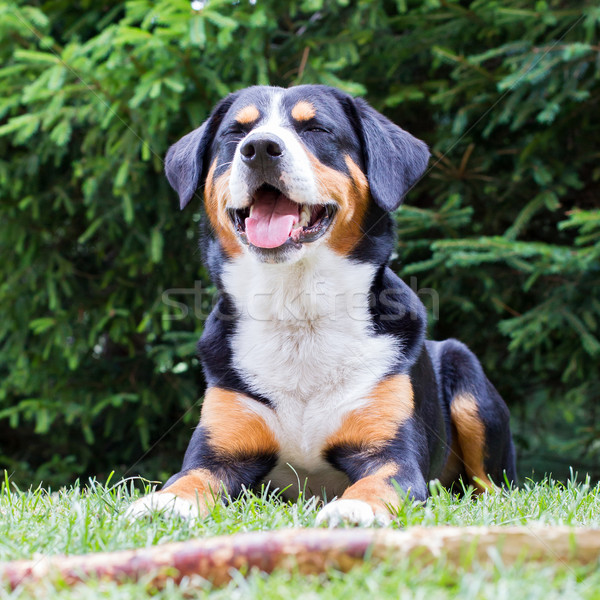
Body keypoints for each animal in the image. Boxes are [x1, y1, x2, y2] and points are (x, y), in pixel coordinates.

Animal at [126, 83, 516, 524]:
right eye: (236, 132)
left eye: (315, 128)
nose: (259, 148)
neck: (298, 310)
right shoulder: (219, 451)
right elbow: (189, 479)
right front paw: (164, 503)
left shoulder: (392, 455)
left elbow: (378, 483)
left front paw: (353, 508)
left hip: (466, 375)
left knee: (492, 484)